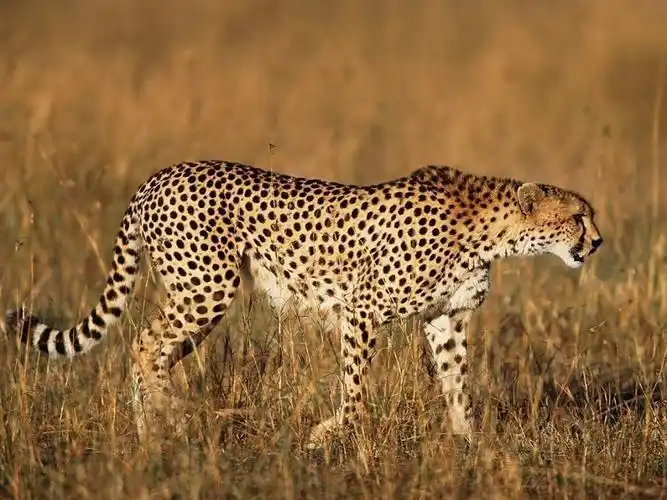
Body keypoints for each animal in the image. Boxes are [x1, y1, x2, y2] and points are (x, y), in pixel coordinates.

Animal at [4, 160, 603, 447]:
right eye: (578, 217)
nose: (597, 242)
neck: (489, 231)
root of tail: (159, 176)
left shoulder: (445, 318)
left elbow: (457, 384)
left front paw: (469, 443)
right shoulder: (363, 309)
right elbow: (355, 389)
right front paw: (330, 436)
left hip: (199, 295)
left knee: (154, 350)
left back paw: (152, 429)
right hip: (206, 286)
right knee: (143, 343)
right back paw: (171, 416)